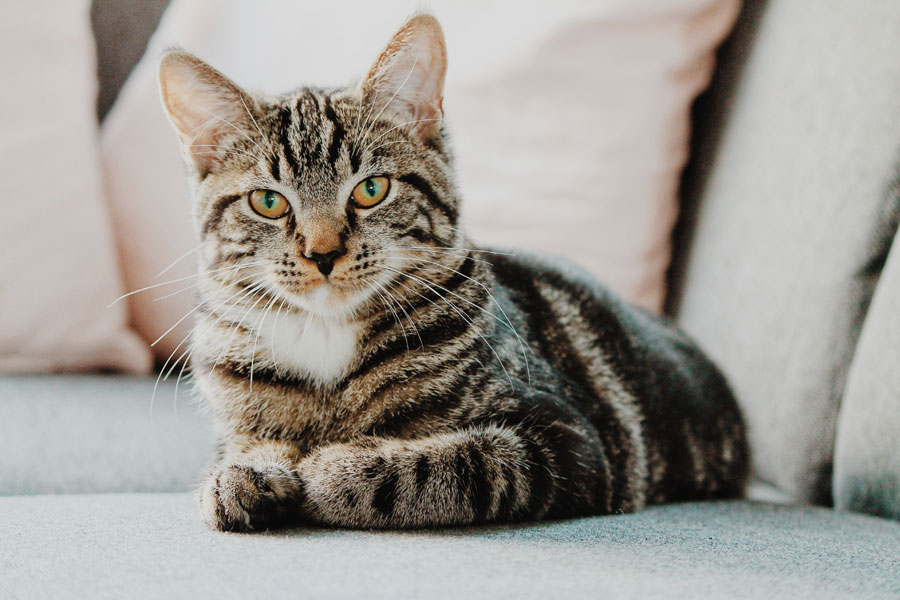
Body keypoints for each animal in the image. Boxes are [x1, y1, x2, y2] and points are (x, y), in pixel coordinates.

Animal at [158, 14, 748, 532]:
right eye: (268, 202)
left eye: (371, 190)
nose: (323, 253)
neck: (327, 339)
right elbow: (244, 444)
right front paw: (243, 472)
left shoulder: (568, 440)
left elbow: (449, 464)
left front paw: (332, 468)